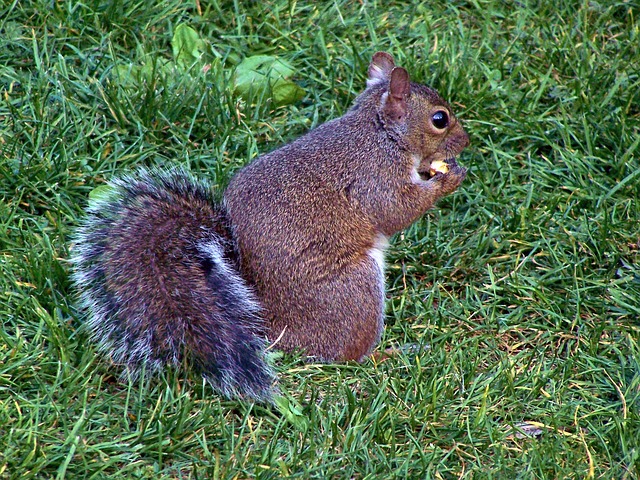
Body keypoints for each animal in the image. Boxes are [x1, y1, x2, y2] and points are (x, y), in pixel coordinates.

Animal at [71, 52, 469, 401]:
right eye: (440, 119)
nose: (465, 142)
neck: (380, 133)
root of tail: (268, 326)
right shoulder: (374, 178)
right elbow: (396, 209)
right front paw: (448, 179)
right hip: (356, 292)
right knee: (345, 354)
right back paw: (384, 354)